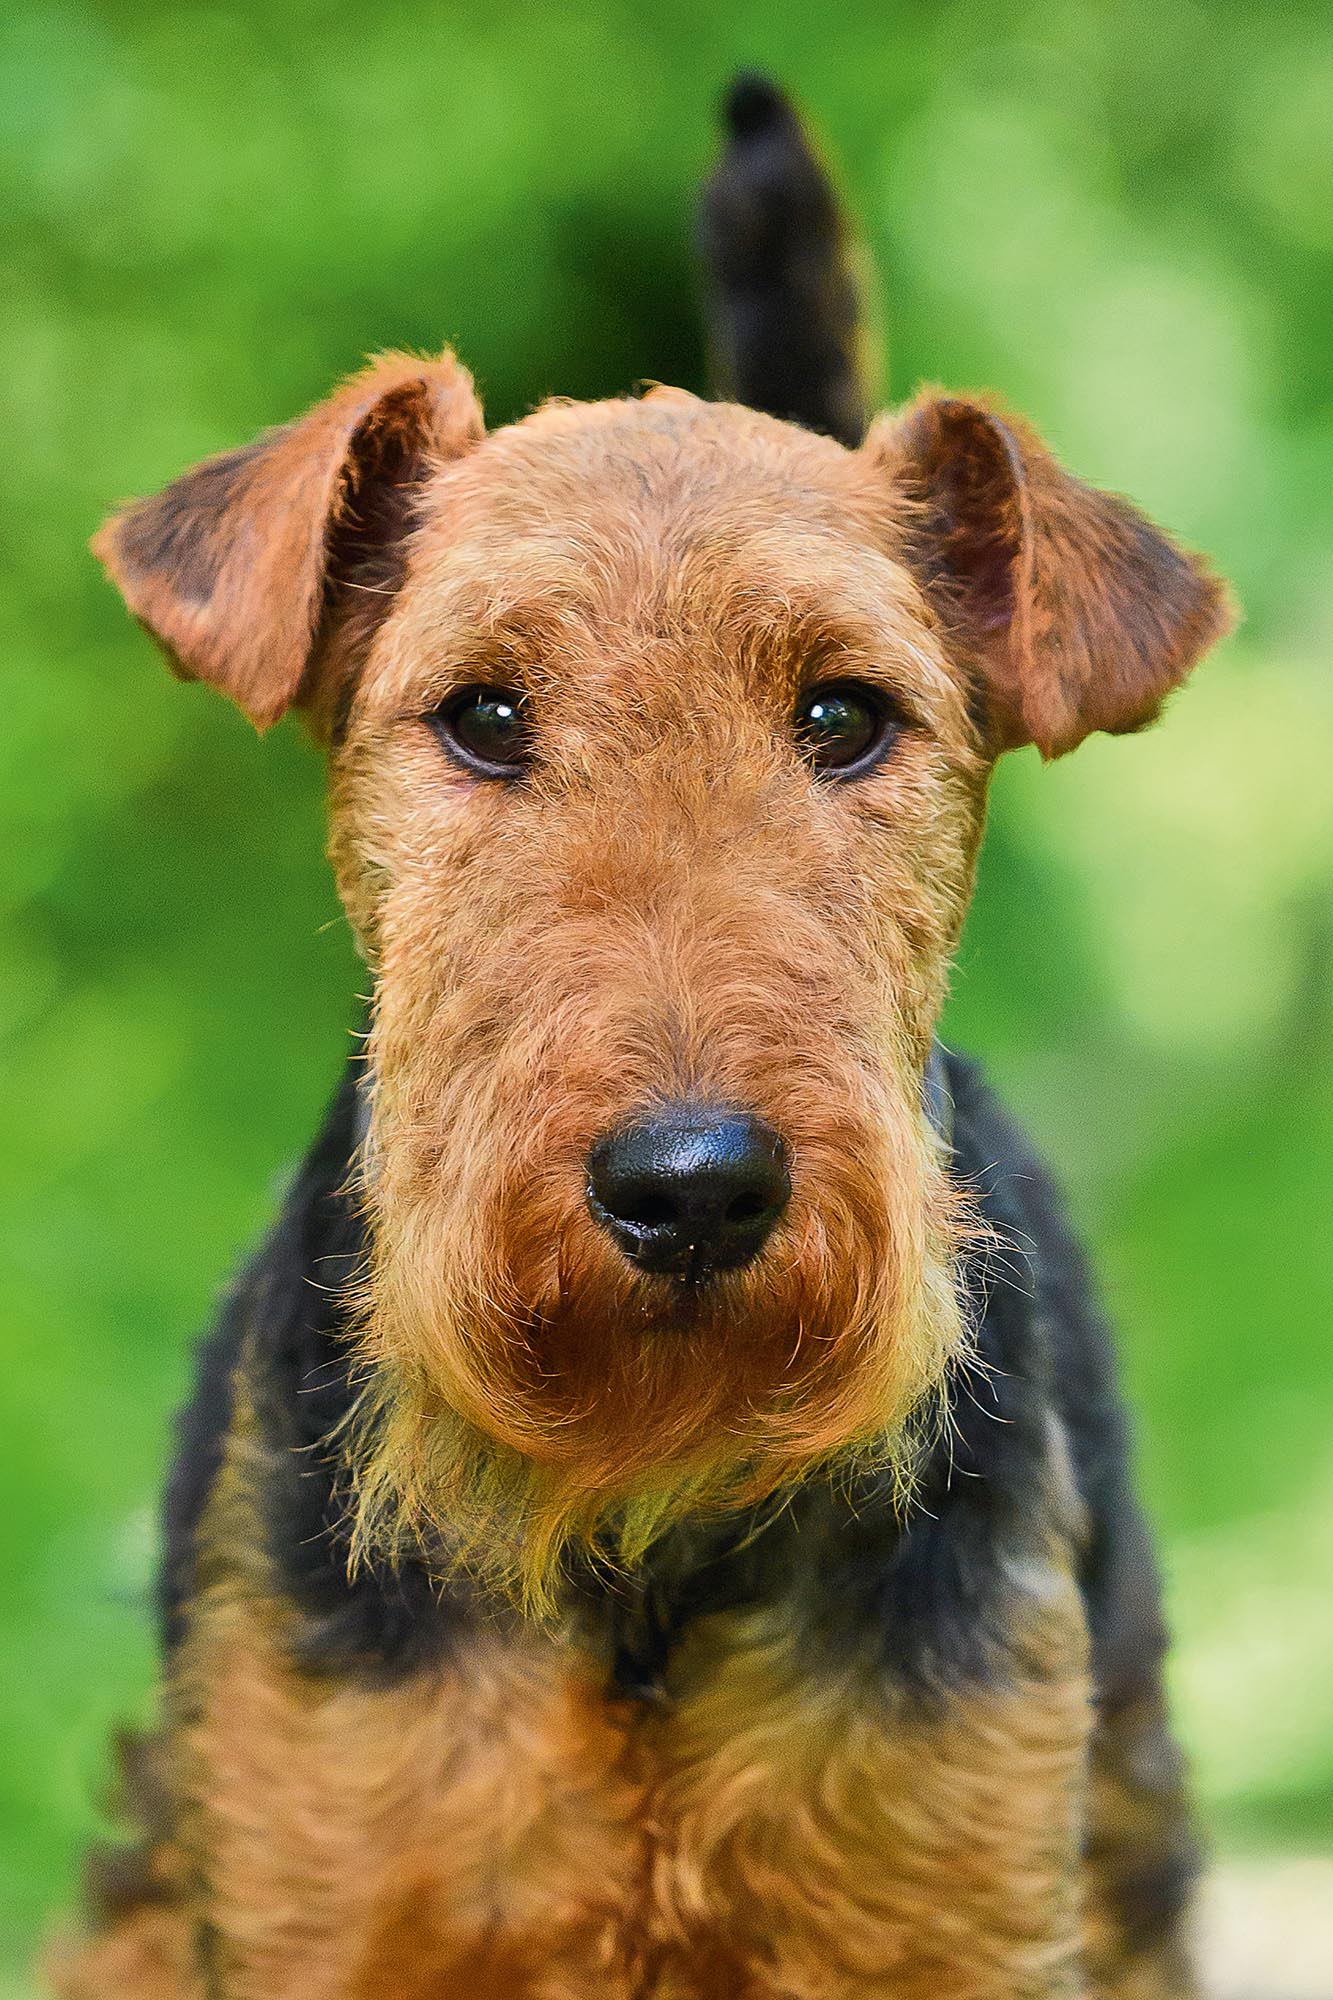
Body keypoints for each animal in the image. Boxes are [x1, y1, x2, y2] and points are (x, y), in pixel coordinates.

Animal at [49, 78, 1232, 2000]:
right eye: (482, 714)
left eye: (843, 715)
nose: (691, 1190)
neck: (639, 1538)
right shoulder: (326, 1900)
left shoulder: (950, 1920)